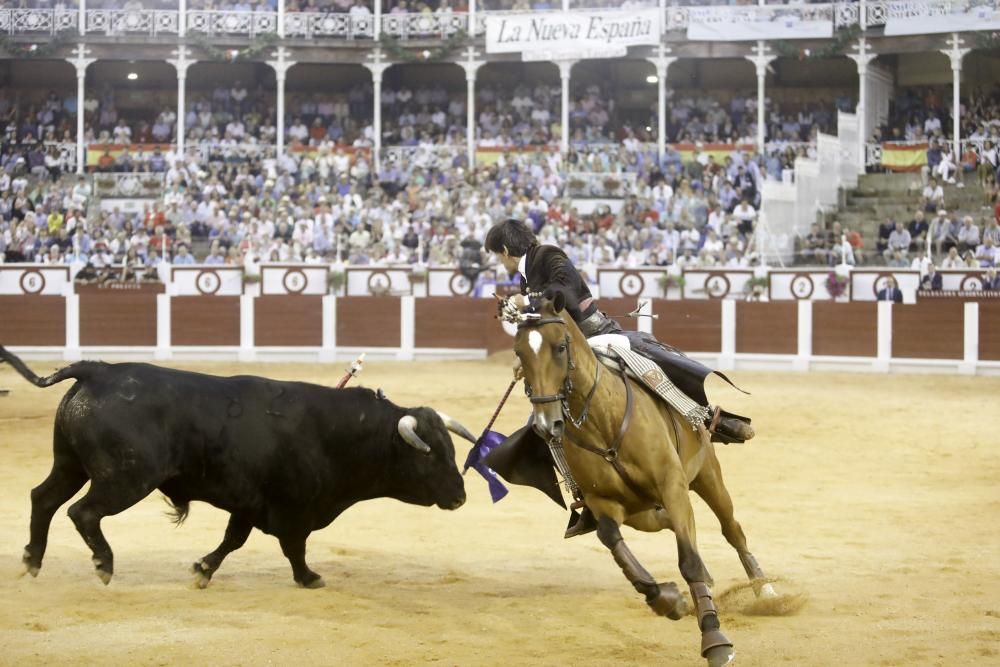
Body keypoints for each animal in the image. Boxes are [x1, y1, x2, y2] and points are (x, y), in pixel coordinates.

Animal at [0, 350, 474, 588]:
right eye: (429, 455)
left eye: (451, 450)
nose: (460, 496)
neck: (337, 432)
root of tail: (98, 371)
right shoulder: (292, 509)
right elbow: (293, 547)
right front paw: (309, 578)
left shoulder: (248, 501)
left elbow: (233, 540)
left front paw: (202, 570)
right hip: (126, 478)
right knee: (82, 512)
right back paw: (103, 564)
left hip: (70, 464)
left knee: (43, 499)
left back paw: (32, 560)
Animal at [512, 298, 776, 667]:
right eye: (519, 353)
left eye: (560, 347)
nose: (545, 424)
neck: (603, 421)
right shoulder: (603, 503)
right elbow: (614, 543)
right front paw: (669, 600)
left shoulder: (672, 485)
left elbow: (688, 560)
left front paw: (715, 640)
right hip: (643, 514)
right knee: (671, 525)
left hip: (707, 475)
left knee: (731, 530)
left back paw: (765, 589)